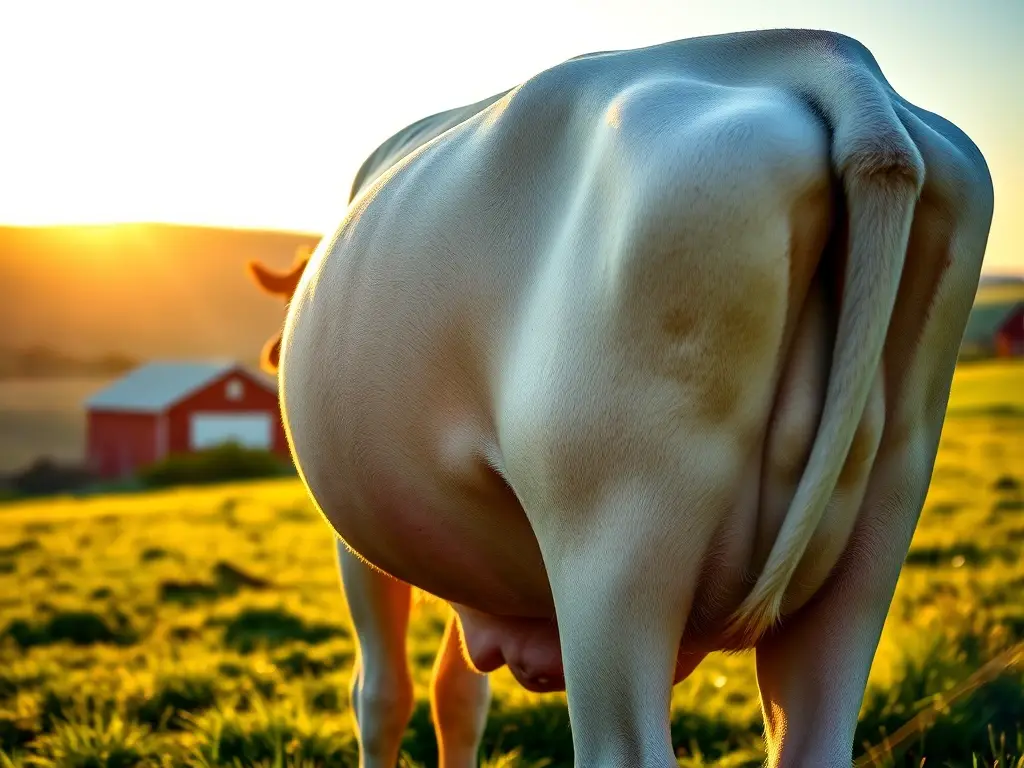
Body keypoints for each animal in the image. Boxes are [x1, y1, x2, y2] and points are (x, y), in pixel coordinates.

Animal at [251, 29, 993, 768]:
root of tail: (837, 65)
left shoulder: (359, 548)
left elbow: (382, 694)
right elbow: (458, 695)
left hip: (613, 545)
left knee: (618, 744)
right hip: (873, 541)